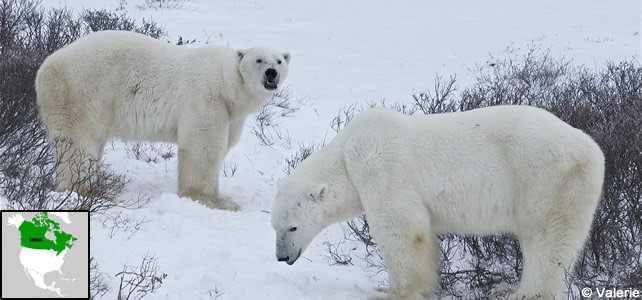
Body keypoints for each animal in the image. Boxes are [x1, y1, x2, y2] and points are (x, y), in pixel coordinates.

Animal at [36, 29, 292, 210]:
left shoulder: (232, 116)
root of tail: (44, 67)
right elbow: (203, 147)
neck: (226, 84)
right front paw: (216, 201)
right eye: (259, 60)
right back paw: (90, 191)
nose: (271, 73)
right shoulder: (206, 99)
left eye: (279, 61)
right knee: (79, 146)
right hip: (82, 93)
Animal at [272, 105, 604, 298]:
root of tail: (593, 149)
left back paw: (521, 293)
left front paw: (390, 292)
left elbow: (401, 228)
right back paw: (507, 287)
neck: (344, 157)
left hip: (545, 178)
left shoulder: (380, 165)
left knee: (545, 240)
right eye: (274, 227)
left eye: (292, 228)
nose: (281, 257)